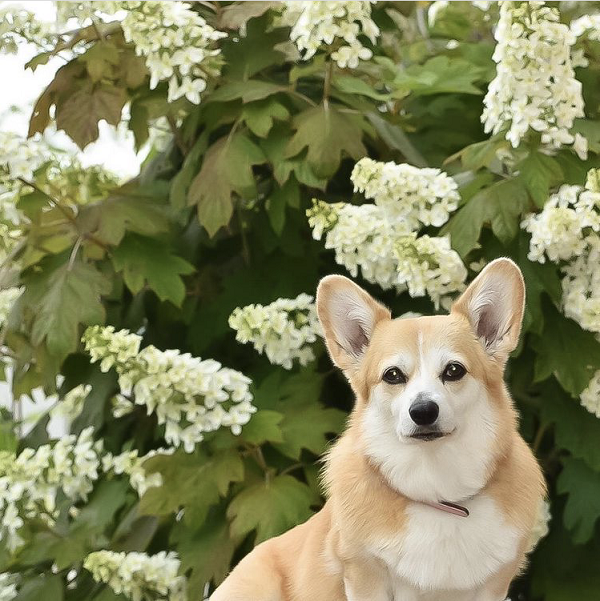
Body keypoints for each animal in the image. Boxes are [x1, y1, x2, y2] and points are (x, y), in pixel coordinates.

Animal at [213, 258, 548, 600]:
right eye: (393, 375)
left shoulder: (494, 585)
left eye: (454, 370)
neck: (439, 492)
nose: (423, 411)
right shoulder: (364, 573)